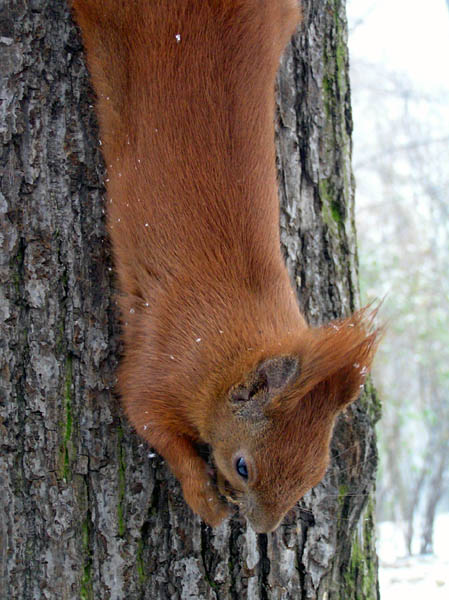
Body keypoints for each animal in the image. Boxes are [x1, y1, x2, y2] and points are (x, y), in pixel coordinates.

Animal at [72, 0, 380, 536]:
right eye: (242, 467)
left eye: (316, 474)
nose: (263, 529)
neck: (231, 345)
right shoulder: (161, 366)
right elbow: (147, 416)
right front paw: (206, 500)